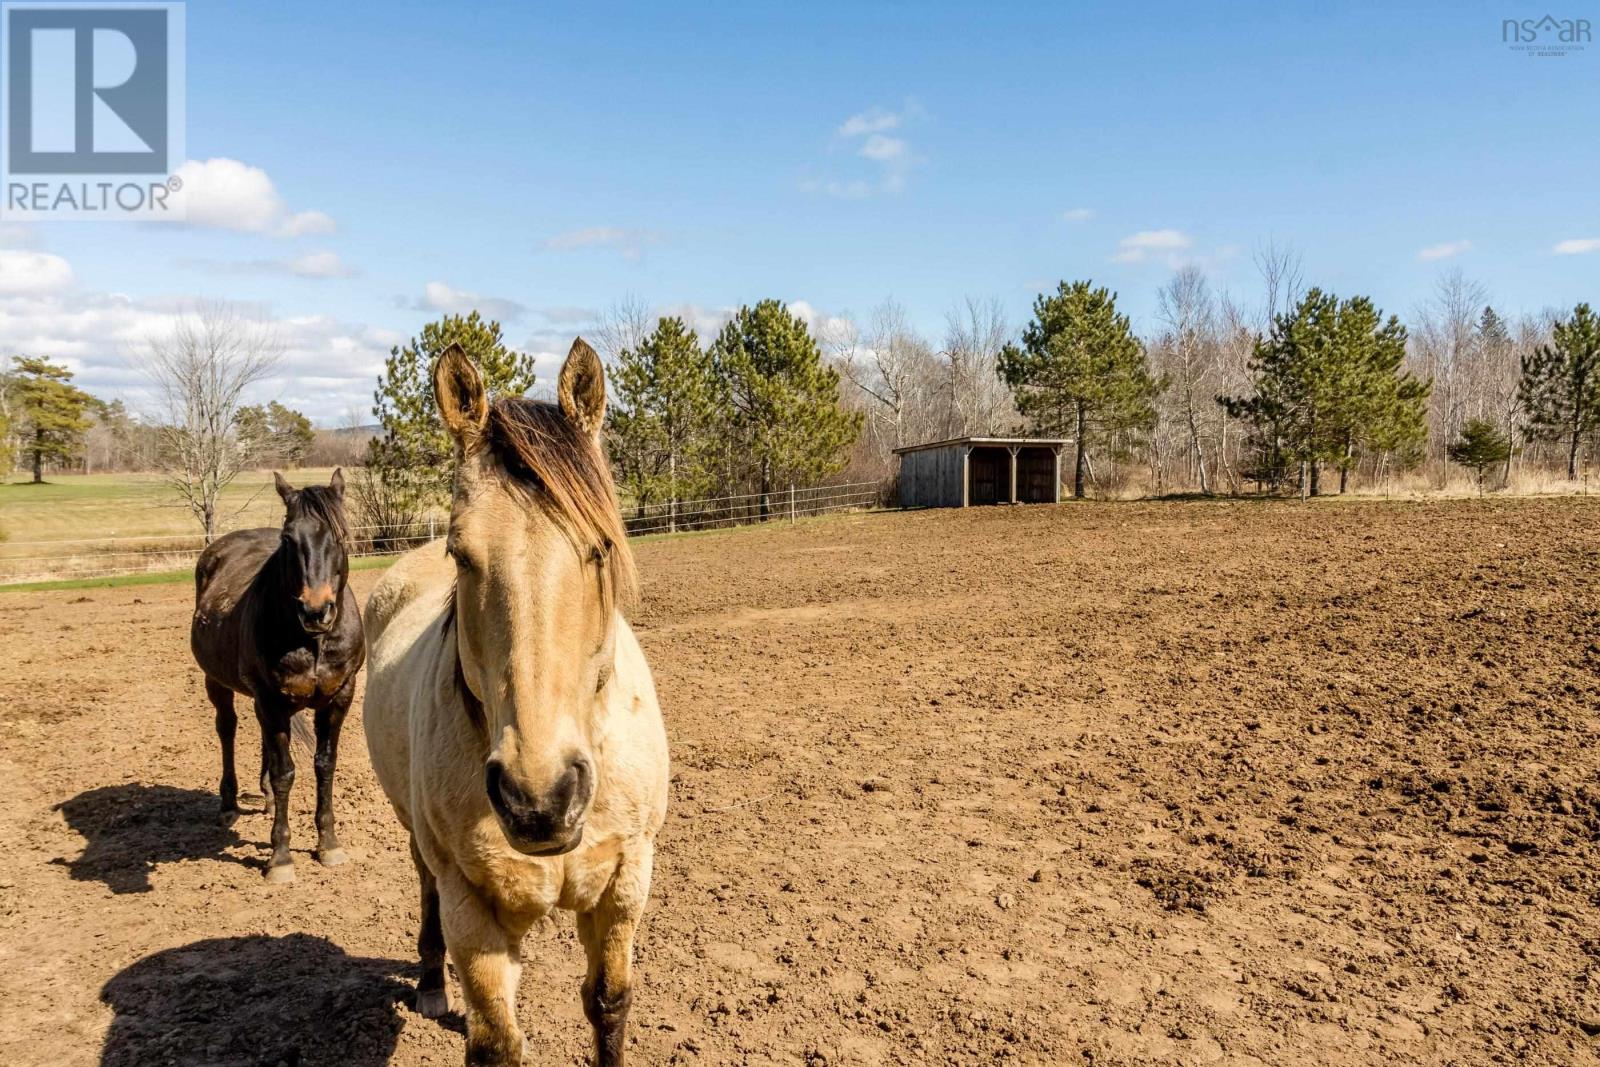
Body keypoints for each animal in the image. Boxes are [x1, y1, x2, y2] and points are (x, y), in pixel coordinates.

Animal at [188, 470, 364, 883]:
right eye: (288, 539)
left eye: (340, 534)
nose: (316, 610)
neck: (312, 641)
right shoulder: (271, 700)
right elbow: (287, 773)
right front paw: (280, 857)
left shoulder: (339, 698)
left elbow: (324, 765)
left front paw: (328, 845)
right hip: (217, 683)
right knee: (227, 729)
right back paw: (229, 803)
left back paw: (266, 796)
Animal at [364, 343, 668, 1067]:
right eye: (462, 554)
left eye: (600, 547)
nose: (540, 799)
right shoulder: (471, 904)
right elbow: (497, 1042)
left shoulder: (626, 883)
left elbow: (608, 1004)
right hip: (421, 843)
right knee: (423, 888)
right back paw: (430, 984)